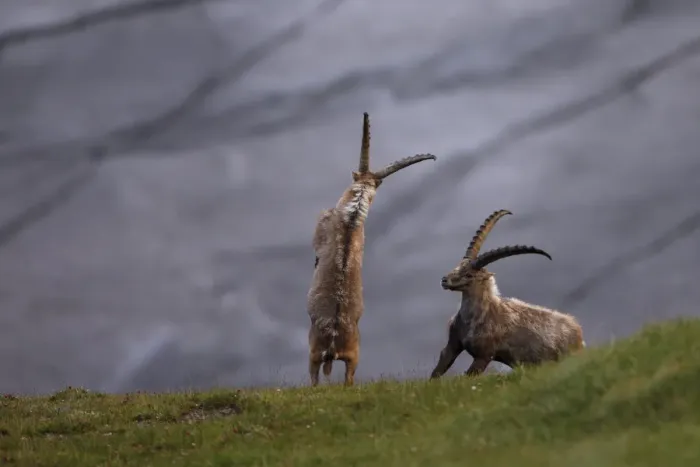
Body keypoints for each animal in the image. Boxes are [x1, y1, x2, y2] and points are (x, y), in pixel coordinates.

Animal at [307, 112, 436, 386]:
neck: (352, 216)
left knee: (314, 379)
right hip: (354, 357)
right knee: (349, 379)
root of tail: (333, 341)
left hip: (313, 352)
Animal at [430, 209, 585, 379]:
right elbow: (438, 369)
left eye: (469, 275)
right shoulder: (453, 344)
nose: (444, 280)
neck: (472, 319)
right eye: (458, 266)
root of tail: (579, 334)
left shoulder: (484, 355)